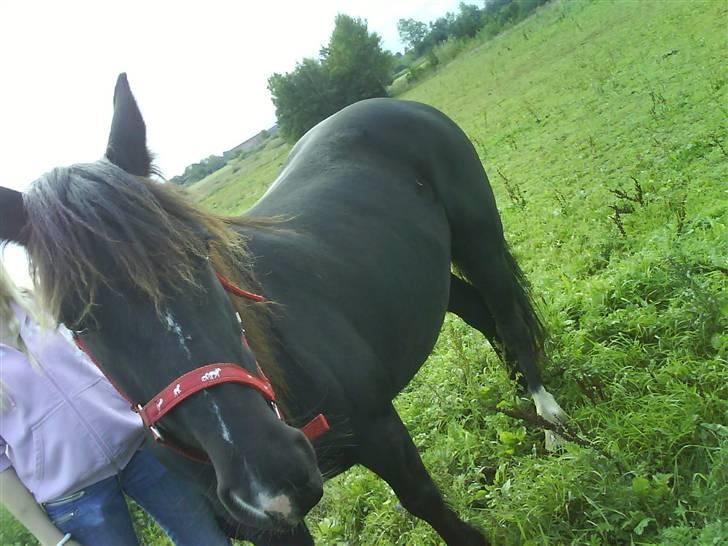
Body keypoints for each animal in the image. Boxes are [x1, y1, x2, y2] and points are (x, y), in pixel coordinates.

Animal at [0, 74, 567, 545]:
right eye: (77, 322)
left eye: (200, 250)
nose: (271, 476)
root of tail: (392, 105)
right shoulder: (263, 525)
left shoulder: (382, 432)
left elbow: (428, 506)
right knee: (482, 316)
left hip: (480, 243)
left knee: (509, 321)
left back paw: (549, 420)